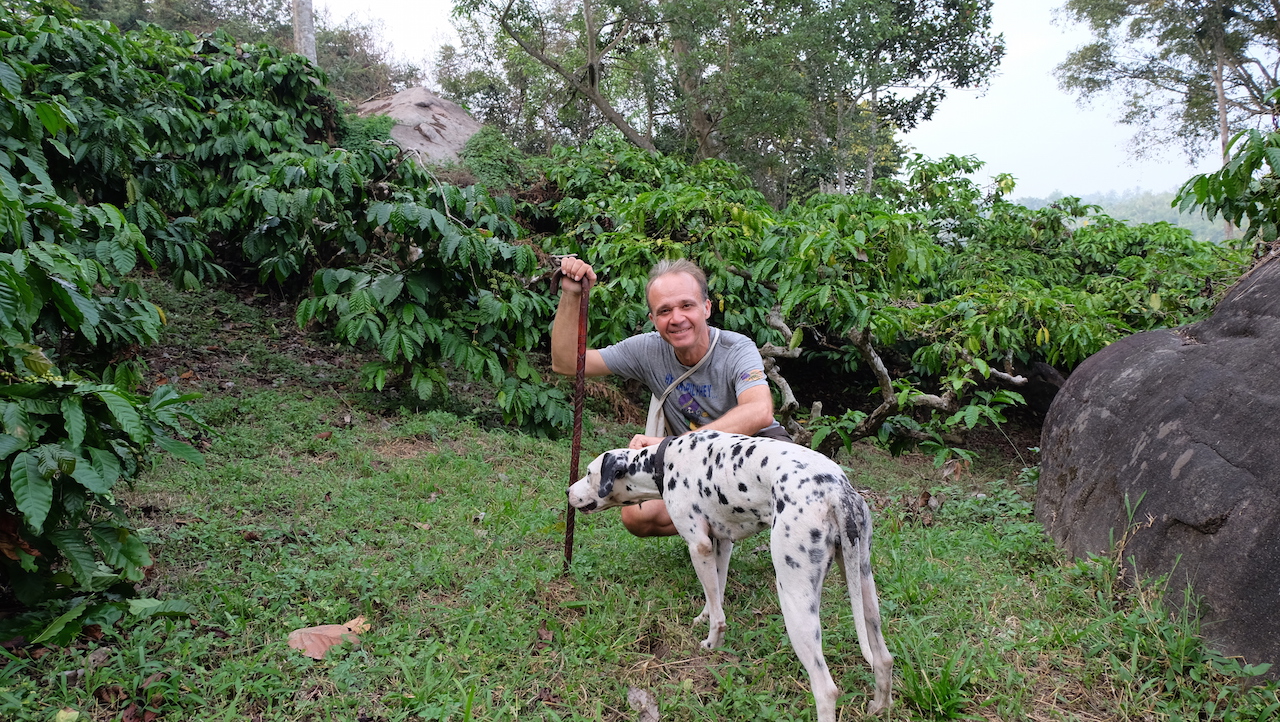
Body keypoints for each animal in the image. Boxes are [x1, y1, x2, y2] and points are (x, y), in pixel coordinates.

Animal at [565, 427, 896, 716]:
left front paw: (712, 643)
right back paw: (879, 706)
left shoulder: (698, 546)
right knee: (883, 659)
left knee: (826, 689)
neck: (664, 460)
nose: (568, 490)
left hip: (795, 601)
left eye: (588, 473)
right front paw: (704, 616)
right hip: (864, 589)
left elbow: (719, 616)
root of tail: (836, 489)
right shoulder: (721, 544)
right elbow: (716, 596)